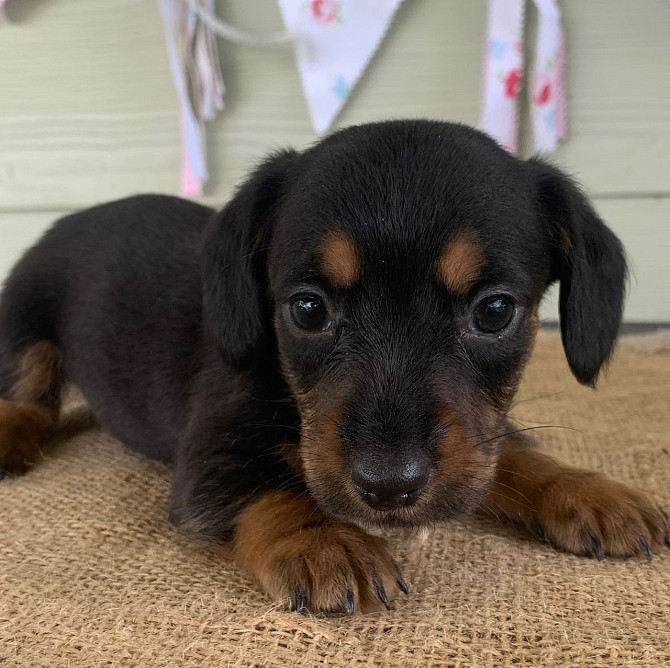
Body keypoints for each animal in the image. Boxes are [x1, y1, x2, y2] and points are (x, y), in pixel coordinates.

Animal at [0, 121, 668, 616]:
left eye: (495, 310)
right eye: (308, 309)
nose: (389, 487)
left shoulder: (478, 438)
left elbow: (512, 452)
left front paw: (586, 489)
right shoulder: (213, 452)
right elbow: (272, 485)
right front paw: (326, 540)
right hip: (24, 318)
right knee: (28, 391)